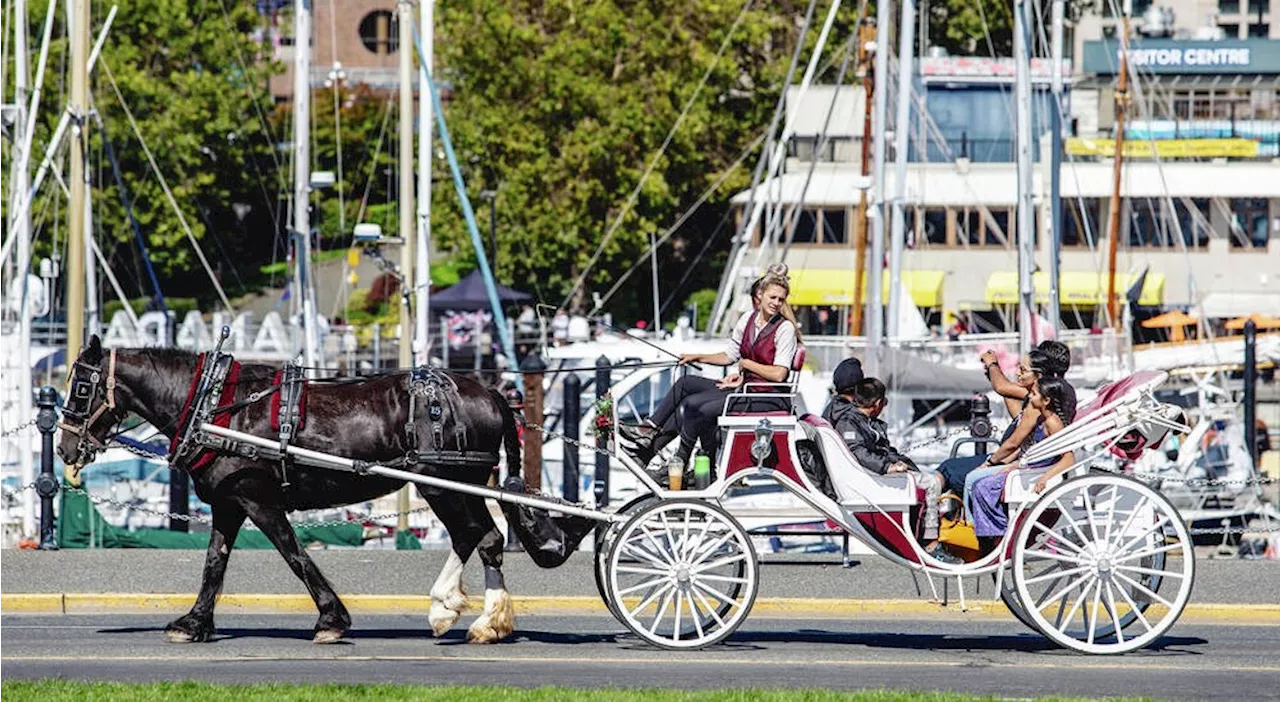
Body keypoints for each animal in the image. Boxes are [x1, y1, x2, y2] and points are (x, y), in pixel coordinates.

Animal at [57, 338, 596, 645]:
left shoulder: (257, 499)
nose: (63, 445)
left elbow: (295, 556)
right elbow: (214, 564)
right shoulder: (229, 503)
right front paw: (194, 623)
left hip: (445, 484)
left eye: (81, 389)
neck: (216, 406)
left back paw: (469, 616)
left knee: (479, 537)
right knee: (481, 537)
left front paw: (332, 620)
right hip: (453, 484)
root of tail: (492, 393)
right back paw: (470, 616)